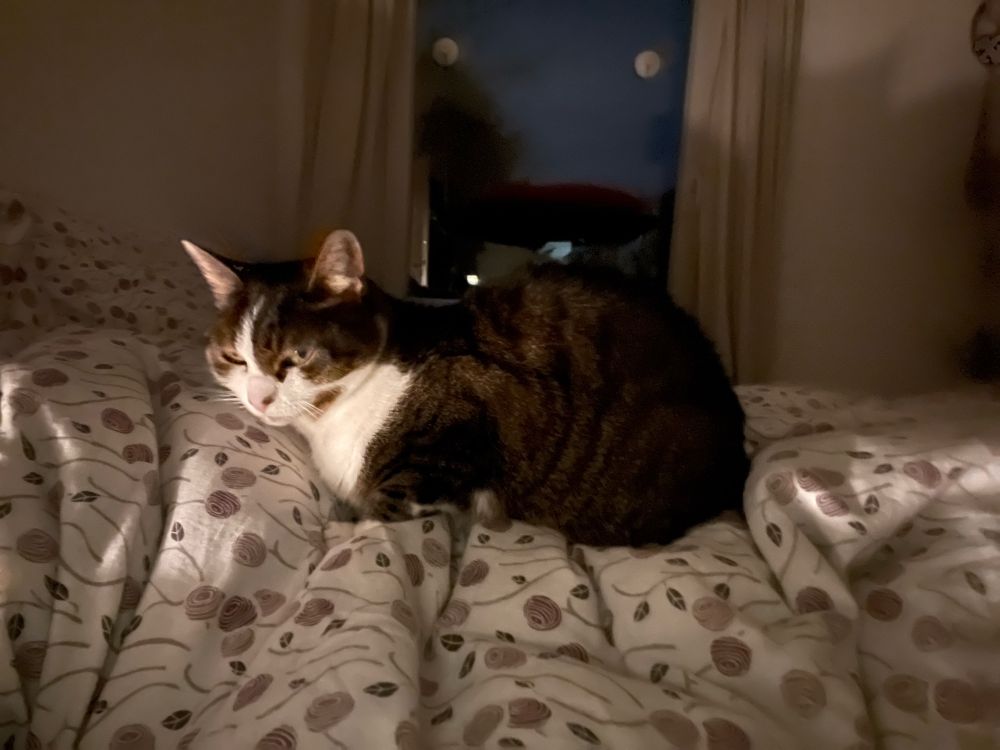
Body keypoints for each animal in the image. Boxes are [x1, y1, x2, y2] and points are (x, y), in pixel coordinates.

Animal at [184, 230, 749, 546]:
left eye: (297, 357)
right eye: (234, 358)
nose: (259, 398)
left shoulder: (463, 432)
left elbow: (393, 505)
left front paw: (344, 532)